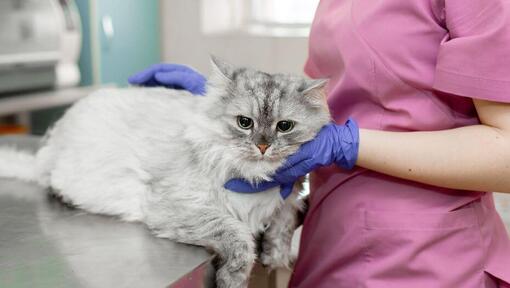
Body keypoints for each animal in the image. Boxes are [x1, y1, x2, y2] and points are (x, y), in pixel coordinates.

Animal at [0, 56, 330, 288]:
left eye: (284, 126)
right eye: (244, 123)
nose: (263, 146)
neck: (254, 179)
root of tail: (50, 145)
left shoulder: (289, 198)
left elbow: (282, 225)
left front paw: (275, 257)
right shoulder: (177, 207)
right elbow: (238, 237)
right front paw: (234, 278)